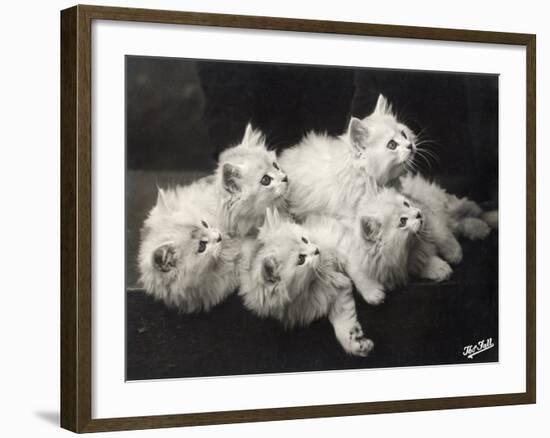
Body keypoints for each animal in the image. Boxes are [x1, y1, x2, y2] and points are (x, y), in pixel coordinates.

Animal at [240, 209, 376, 356]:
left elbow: (356, 269)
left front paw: (373, 293)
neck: (313, 280)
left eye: (304, 240)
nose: (316, 250)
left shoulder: (338, 240)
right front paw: (355, 343)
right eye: (301, 259)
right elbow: (343, 323)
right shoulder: (332, 293)